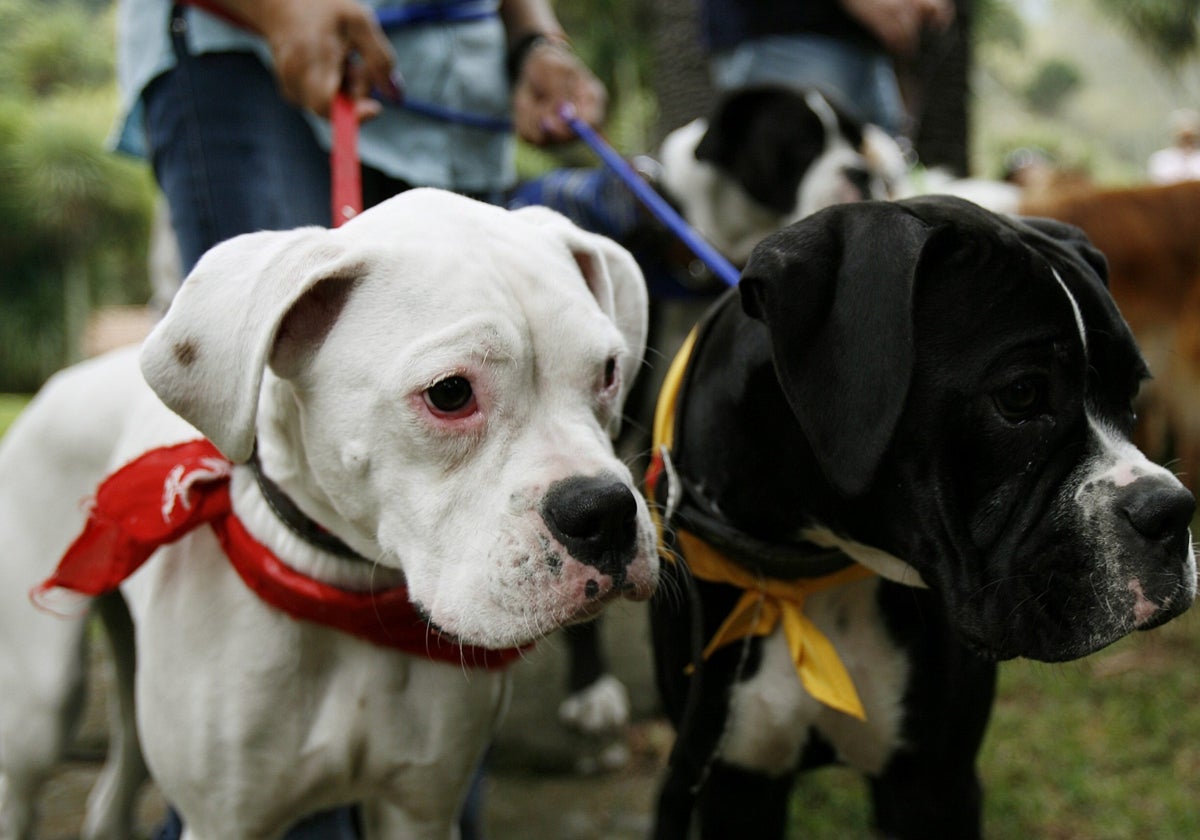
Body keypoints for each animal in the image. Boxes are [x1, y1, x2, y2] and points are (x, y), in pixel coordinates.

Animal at [0, 190, 657, 840]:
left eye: (608, 371)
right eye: (449, 392)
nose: (604, 510)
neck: (346, 590)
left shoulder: (419, 810)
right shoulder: (225, 822)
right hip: (39, 710)